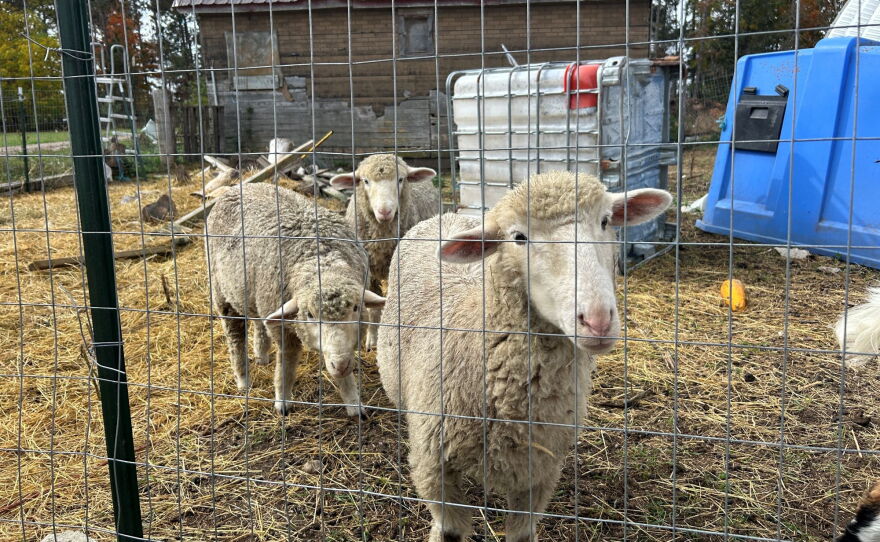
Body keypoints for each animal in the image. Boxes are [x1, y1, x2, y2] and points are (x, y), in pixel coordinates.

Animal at [205, 183, 385, 416]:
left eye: (356, 308)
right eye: (309, 315)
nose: (340, 364)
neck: (320, 260)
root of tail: (238, 186)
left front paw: (353, 402)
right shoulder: (283, 329)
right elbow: (287, 363)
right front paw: (282, 400)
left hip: (252, 293)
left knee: (258, 322)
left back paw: (261, 355)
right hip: (223, 295)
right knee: (235, 337)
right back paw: (244, 380)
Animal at [330, 154, 440, 350]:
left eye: (400, 179)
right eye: (365, 181)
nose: (385, 211)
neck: (381, 241)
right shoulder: (369, 271)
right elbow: (373, 308)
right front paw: (372, 339)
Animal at [376, 171, 672, 542]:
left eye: (605, 221)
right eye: (519, 238)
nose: (598, 320)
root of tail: (444, 216)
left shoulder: (540, 472)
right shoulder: (433, 467)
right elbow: (450, 530)